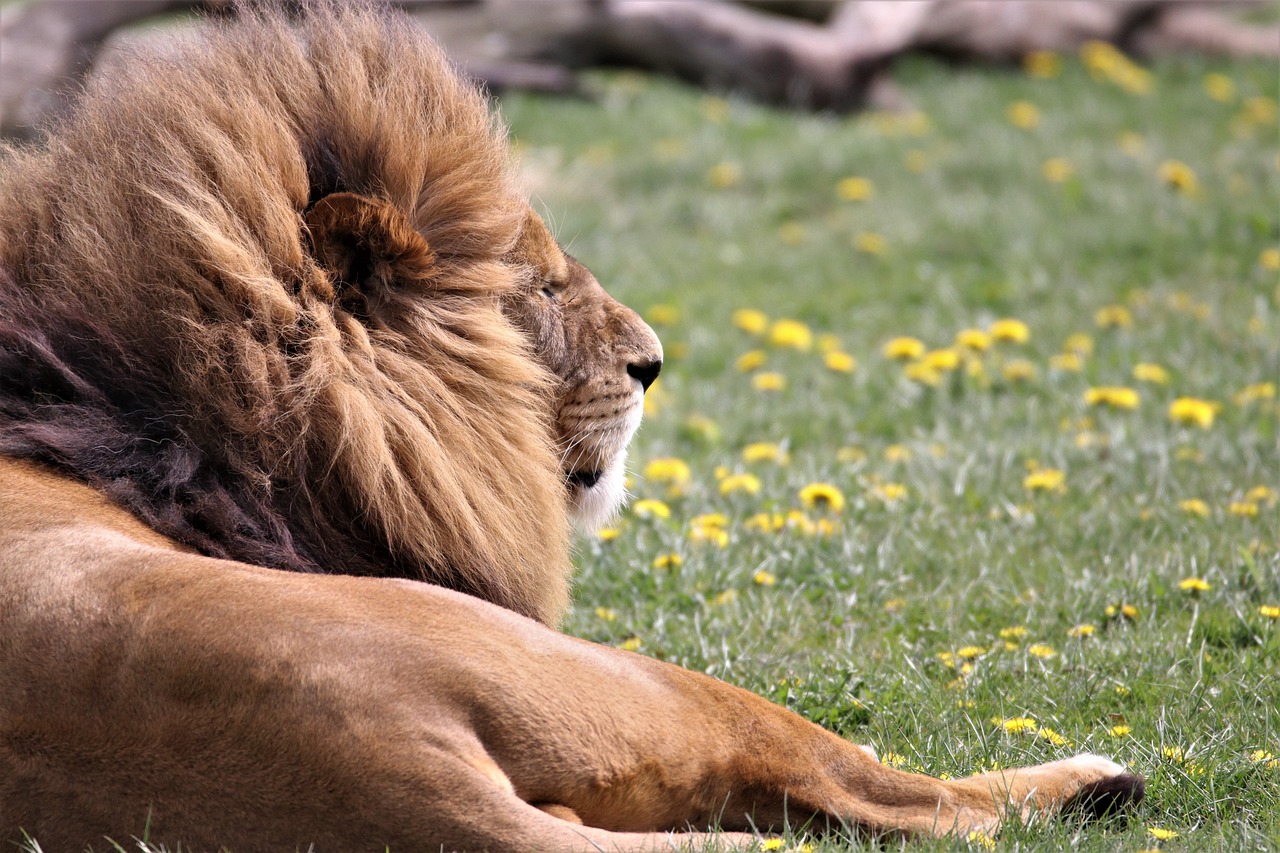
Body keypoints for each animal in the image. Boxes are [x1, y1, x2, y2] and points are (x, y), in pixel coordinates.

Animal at [0, 3, 1141, 845]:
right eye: (542, 289)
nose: (654, 362)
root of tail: (403, 777)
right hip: (627, 678)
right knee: (892, 793)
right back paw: (1094, 781)